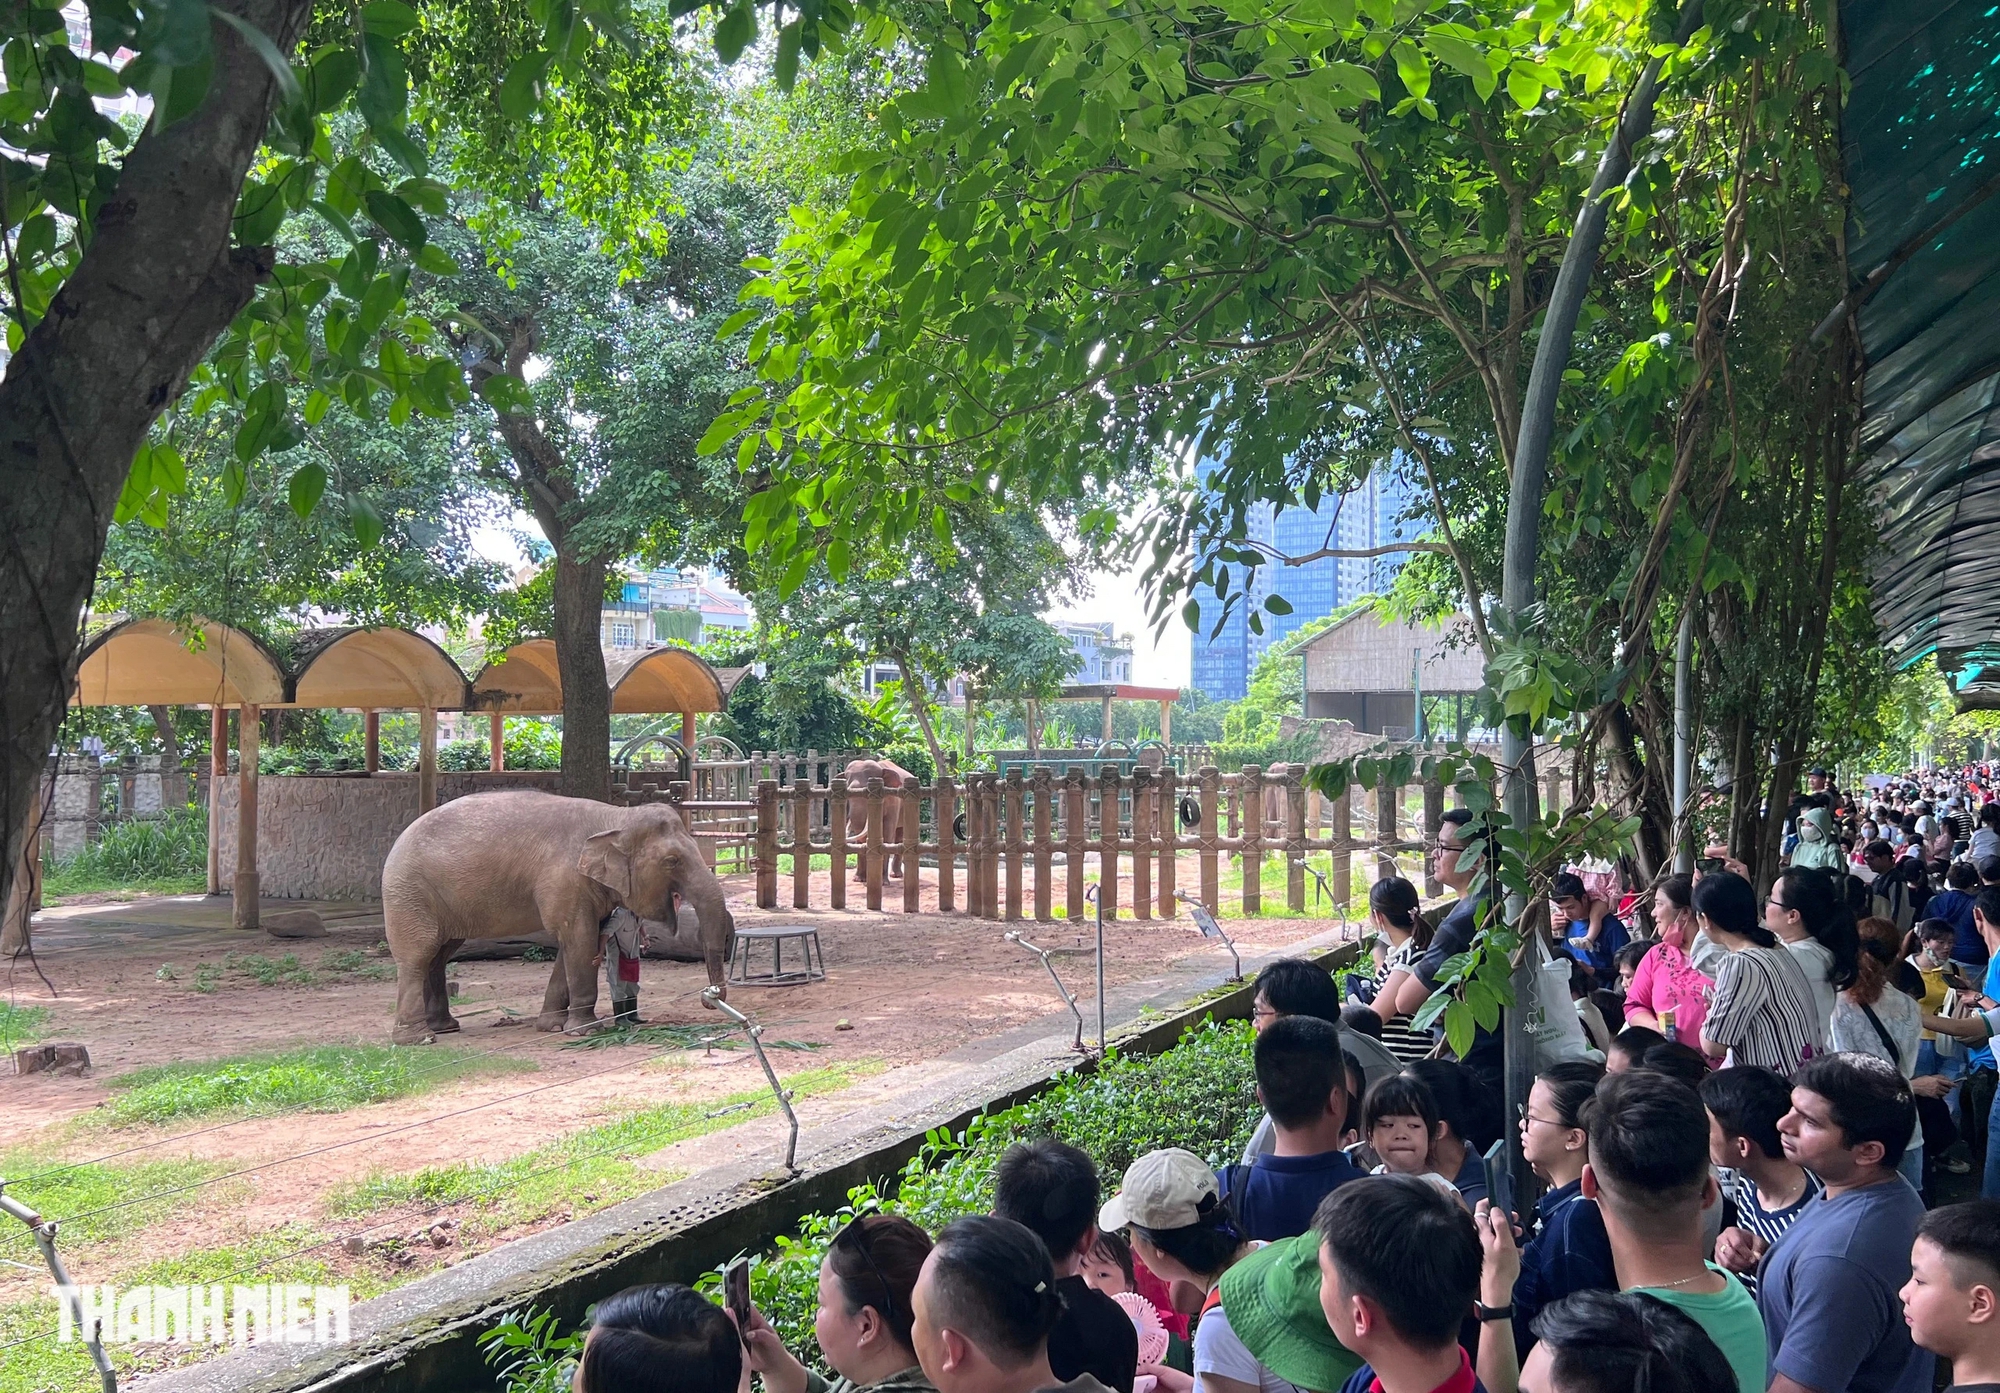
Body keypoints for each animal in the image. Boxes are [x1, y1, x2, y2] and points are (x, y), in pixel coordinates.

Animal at [380, 792, 736, 1040]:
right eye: (672, 861)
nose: (709, 998)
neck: (615, 816)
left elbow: (577, 942)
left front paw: (551, 1026)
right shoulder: (564, 879)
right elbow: (578, 938)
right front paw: (586, 1031)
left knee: (440, 953)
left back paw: (445, 1027)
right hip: (408, 893)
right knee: (418, 954)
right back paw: (419, 1038)